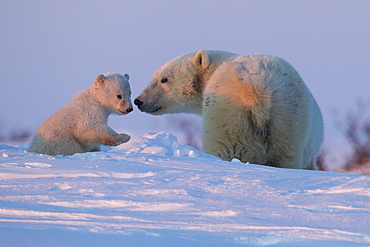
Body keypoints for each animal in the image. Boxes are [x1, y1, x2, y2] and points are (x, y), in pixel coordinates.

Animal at [134, 50, 322, 170]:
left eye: (164, 79)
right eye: (156, 76)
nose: (139, 100)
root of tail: (257, 91)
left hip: (229, 117)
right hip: (288, 119)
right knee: (285, 156)